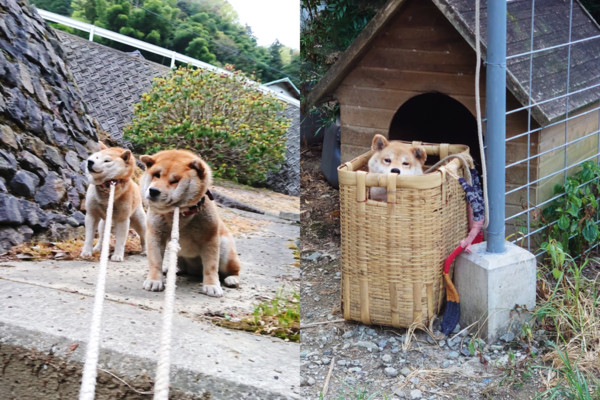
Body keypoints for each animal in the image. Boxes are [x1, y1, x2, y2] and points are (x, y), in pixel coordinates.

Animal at [140, 150, 241, 296]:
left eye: (174, 180)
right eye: (156, 175)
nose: (153, 190)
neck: (179, 213)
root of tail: (195, 272)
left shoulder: (210, 240)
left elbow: (211, 267)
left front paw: (211, 285)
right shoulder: (155, 235)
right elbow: (155, 262)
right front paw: (154, 280)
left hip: (225, 250)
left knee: (233, 270)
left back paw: (232, 279)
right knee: (182, 267)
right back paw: (172, 269)